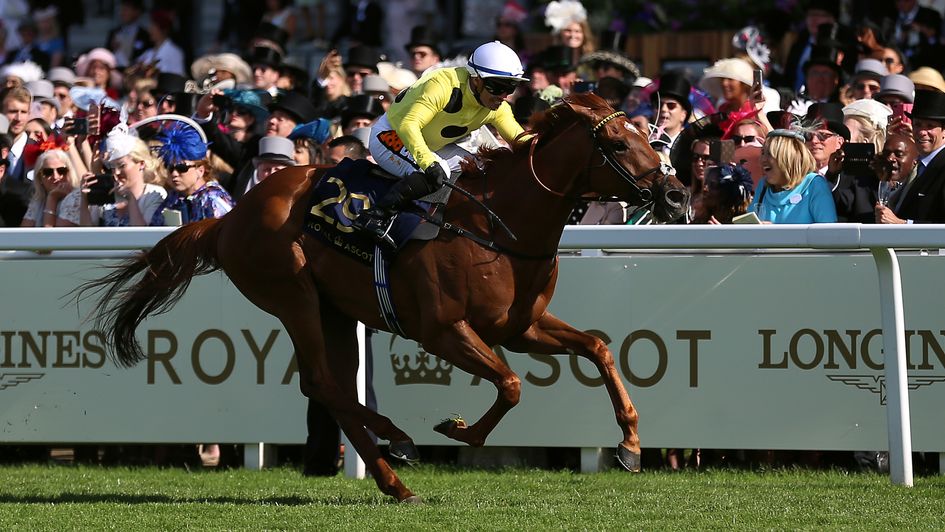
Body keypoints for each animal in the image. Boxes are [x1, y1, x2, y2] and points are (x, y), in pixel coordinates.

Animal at [79, 93, 684, 500]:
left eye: (648, 137)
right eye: (617, 143)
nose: (676, 194)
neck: (498, 227)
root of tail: (232, 216)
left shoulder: (520, 327)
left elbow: (599, 349)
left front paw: (630, 446)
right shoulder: (442, 330)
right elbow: (511, 384)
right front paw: (457, 430)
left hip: (334, 311)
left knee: (329, 384)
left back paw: (393, 468)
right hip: (292, 294)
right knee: (323, 382)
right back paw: (397, 454)